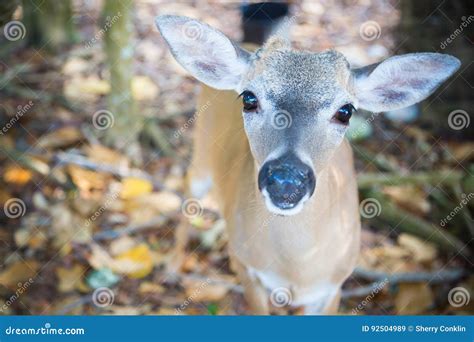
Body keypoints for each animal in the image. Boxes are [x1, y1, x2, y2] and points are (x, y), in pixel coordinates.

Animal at [155, 14, 460, 314]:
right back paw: (171, 268)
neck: (296, 268)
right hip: (202, 152)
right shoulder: (248, 270)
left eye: (345, 111)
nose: (286, 180)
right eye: (249, 98)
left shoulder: (332, 288)